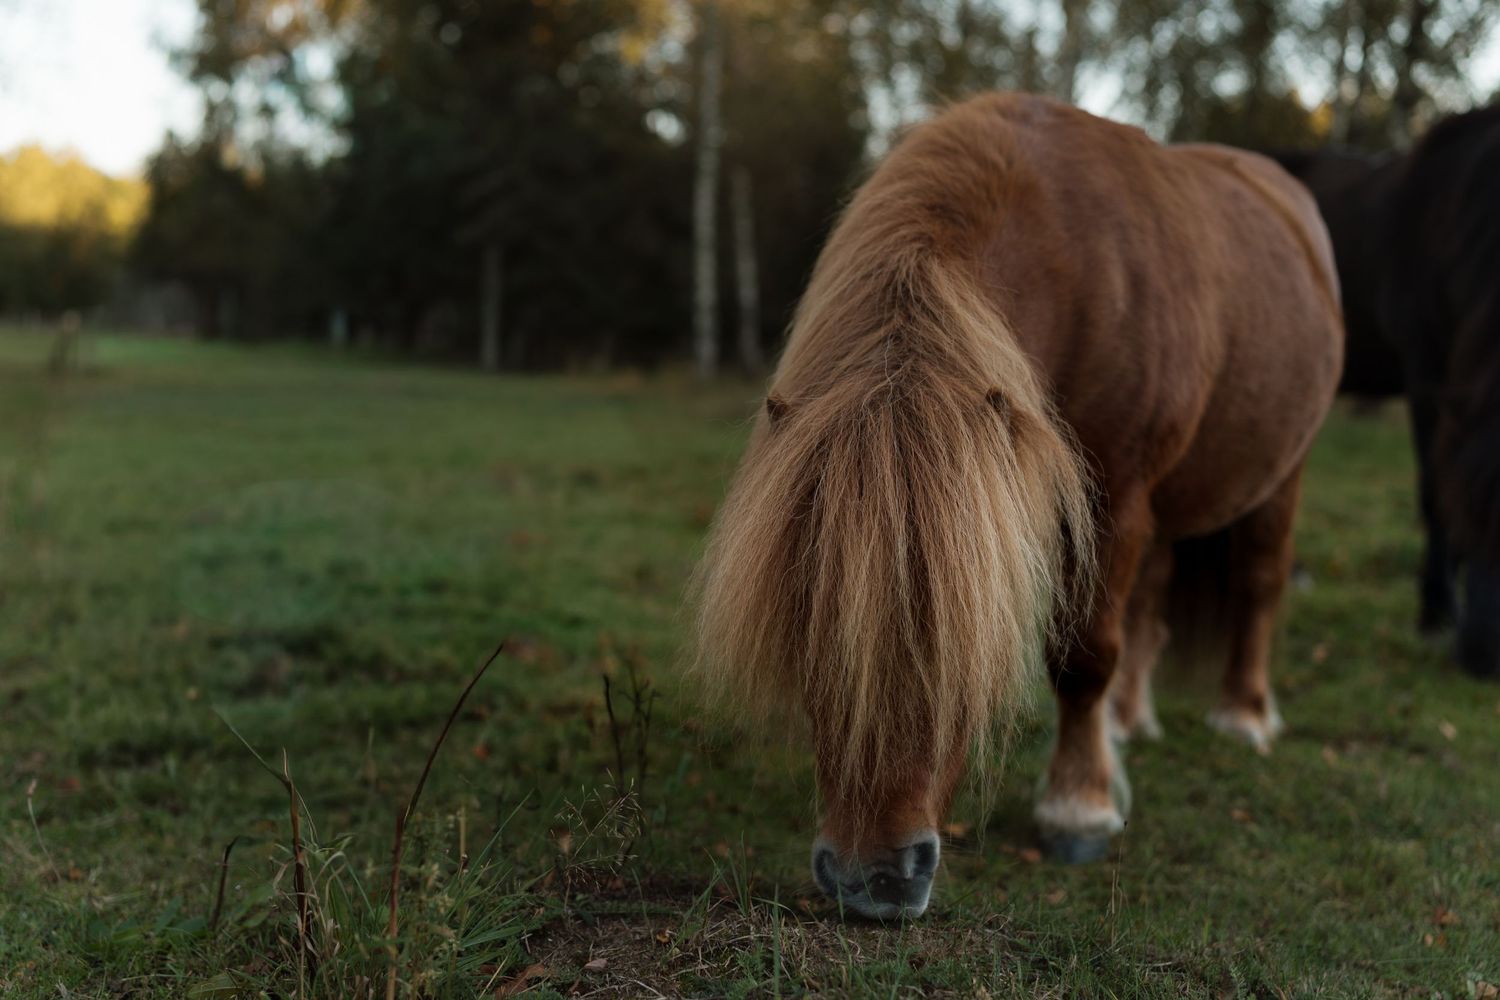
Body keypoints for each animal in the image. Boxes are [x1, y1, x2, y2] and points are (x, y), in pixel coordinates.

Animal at [693, 93, 1342, 919]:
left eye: (956, 642)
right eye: (813, 628)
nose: (873, 881)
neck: (1079, 266)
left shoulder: (1115, 494)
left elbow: (1085, 654)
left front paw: (1077, 810)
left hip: (1280, 472)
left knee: (1257, 582)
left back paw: (1244, 717)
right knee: (1151, 601)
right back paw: (1129, 724)